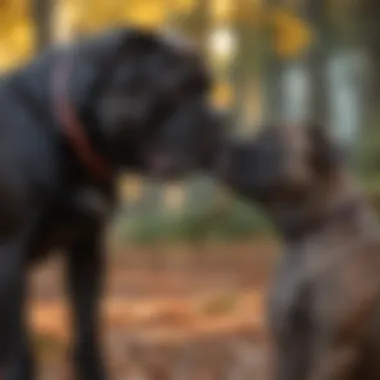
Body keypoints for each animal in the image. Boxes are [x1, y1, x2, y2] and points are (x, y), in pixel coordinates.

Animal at [0, 27, 223, 380]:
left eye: (207, 88)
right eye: (178, 89)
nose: (221, 120)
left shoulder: (87, 248)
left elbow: (87, 329)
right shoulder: (9, 255)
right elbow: (21, 349)